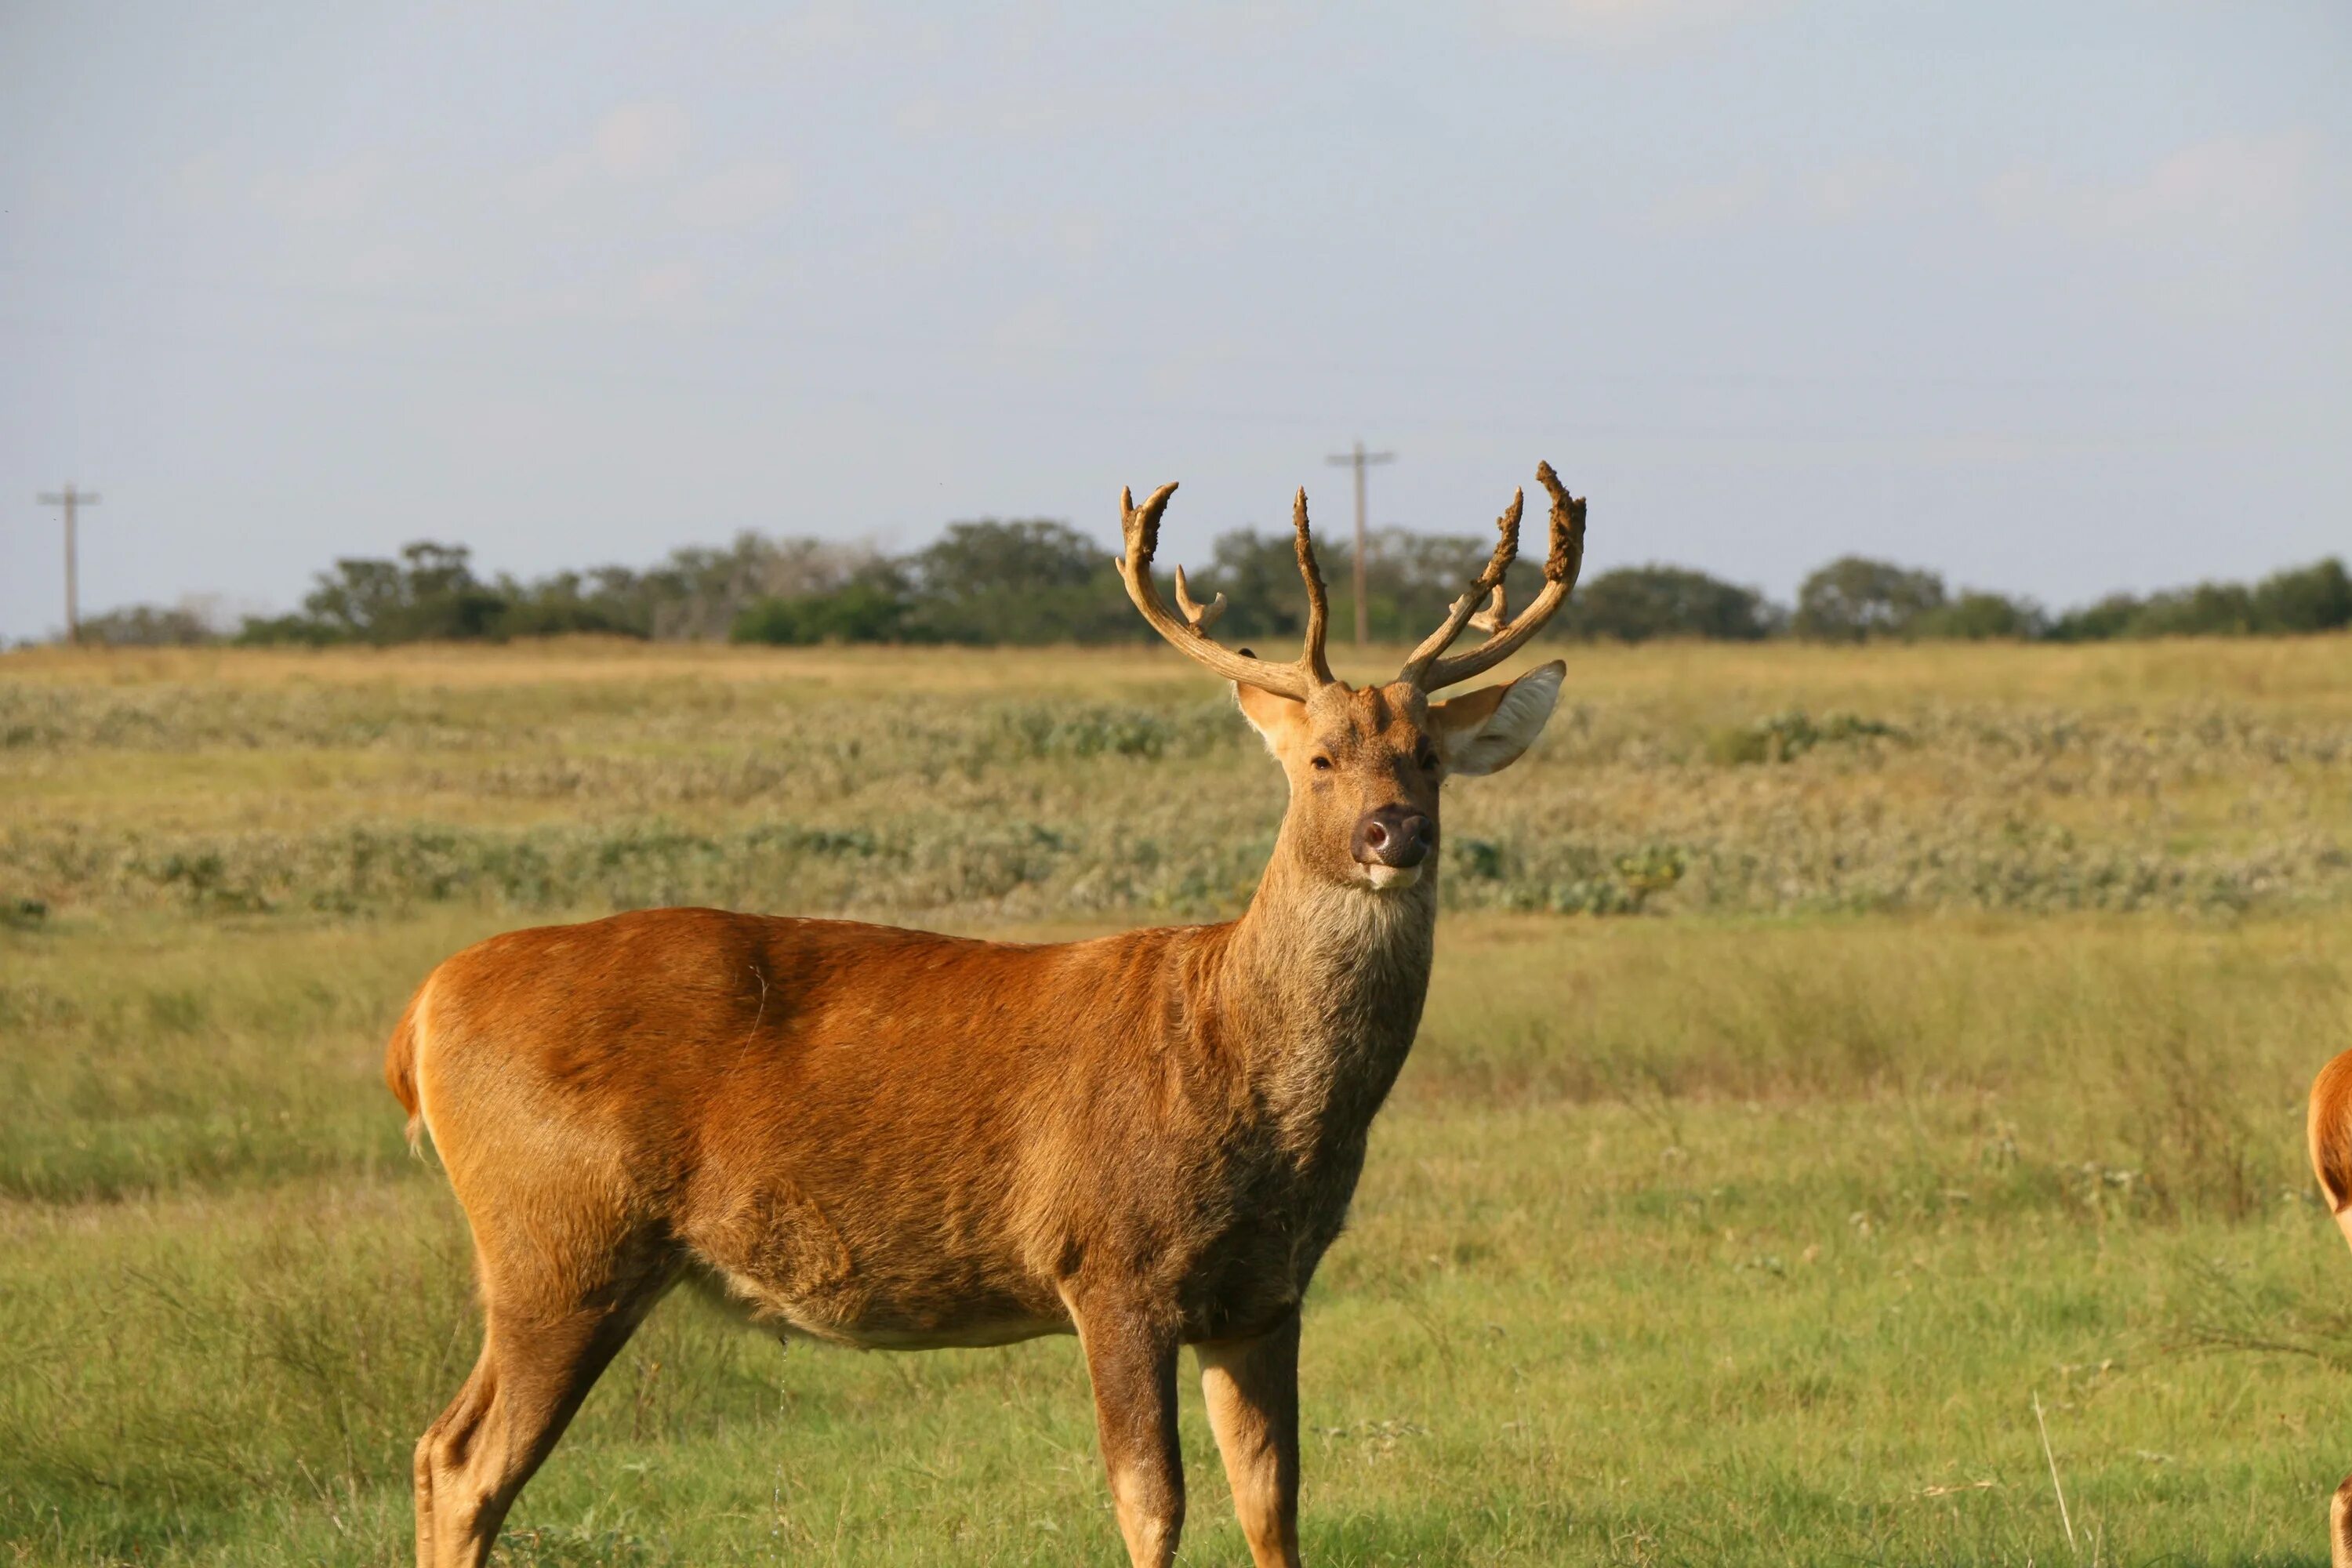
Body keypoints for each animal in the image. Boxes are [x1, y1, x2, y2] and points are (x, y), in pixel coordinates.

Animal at [386, 460, 1590, 1561]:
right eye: (1321, 759)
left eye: (1429, 756)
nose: (1395, 831)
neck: (1238, 1058)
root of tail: (420, 1014)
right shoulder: (1111, 1259)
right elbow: (1152, 1506)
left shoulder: (1266, 1291)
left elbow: (1273, 1505)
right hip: (556, 1234)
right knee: (465, 1458)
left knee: (443, 1448)